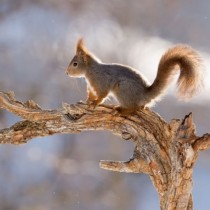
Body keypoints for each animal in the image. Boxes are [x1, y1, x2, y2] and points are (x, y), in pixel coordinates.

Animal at [66, 38, 203, 115]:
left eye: (75, 64)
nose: (66, 73)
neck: (90, 71)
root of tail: (144, 96)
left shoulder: (102, 82)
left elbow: (102, 95)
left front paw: (95, 103)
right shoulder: (91, 87)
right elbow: (91, 94)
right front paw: (88, 100)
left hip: (122, 89)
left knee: (134, 108)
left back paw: (120, 110)